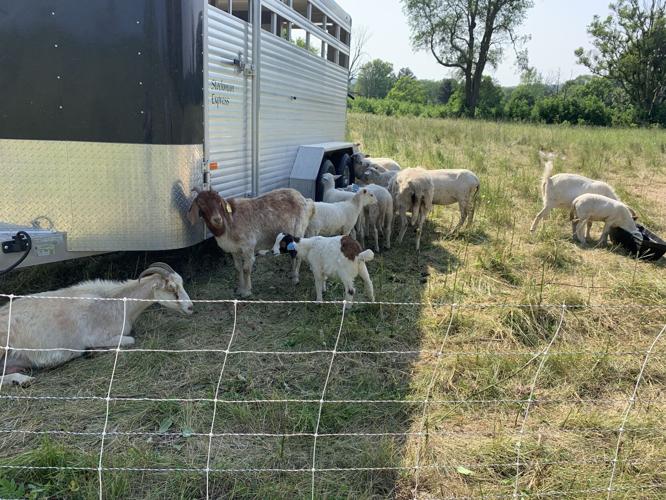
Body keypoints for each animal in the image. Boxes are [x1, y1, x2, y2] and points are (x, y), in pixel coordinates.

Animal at [0, 263, 193, 387]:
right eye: (172, 288)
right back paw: (24, 380)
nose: (190, 307)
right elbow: (130, 340)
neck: (116, 303)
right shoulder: (97, 336)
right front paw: (92, 351)